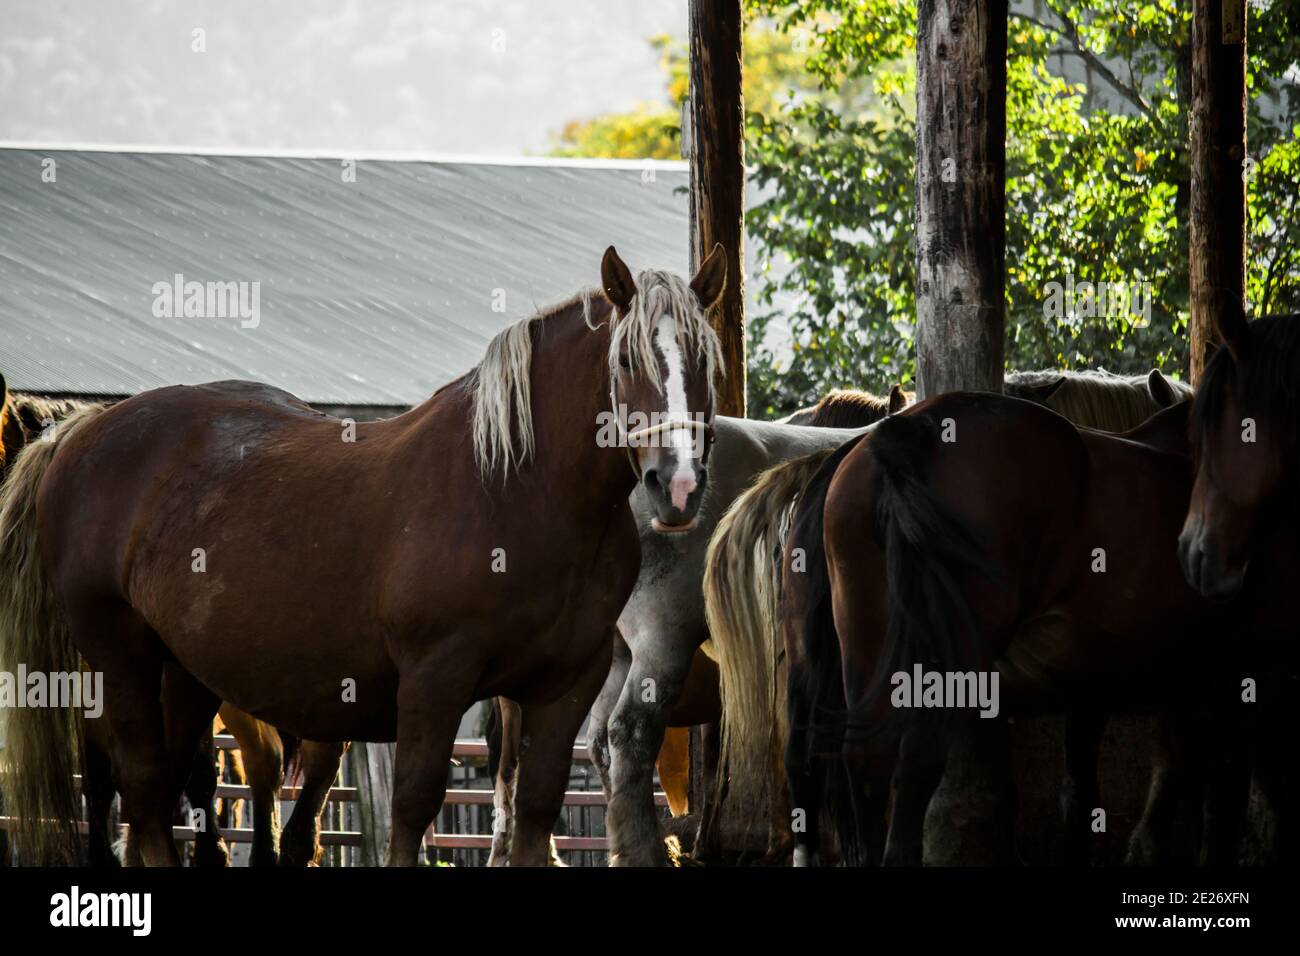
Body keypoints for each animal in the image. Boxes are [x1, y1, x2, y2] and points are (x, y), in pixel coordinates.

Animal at [0, 247, 733, 868]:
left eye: (704, 364)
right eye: (627, 363)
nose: (677, 485)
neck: (515, 491)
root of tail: (79, 432)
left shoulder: (566, 687)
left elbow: (535, 812)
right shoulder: (435, 682)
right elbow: (412, 809)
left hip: (182, 674)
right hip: (120, 659)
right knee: (144, 792)